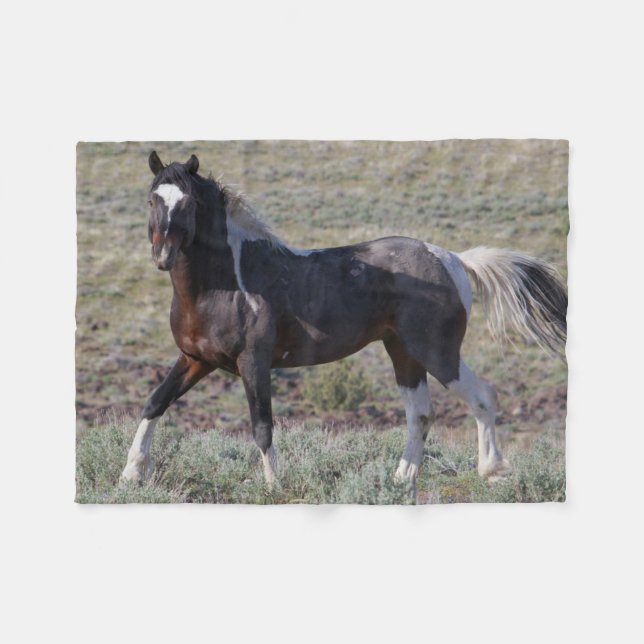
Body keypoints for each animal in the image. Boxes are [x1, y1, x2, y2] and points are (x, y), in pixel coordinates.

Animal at [120, 151, 567, 493]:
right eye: (151, 200)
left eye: (188, 203)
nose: (163, 256)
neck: (225, 283)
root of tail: (454, 258)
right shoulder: (196, 359)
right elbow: (154, 402)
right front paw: (130, 474)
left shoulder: (254, 362)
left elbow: (262, 425)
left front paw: (275, 485)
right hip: (403, 353)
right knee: (420, 414)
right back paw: (401, 480)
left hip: (437, 352)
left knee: (482, 397)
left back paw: (493, 472)